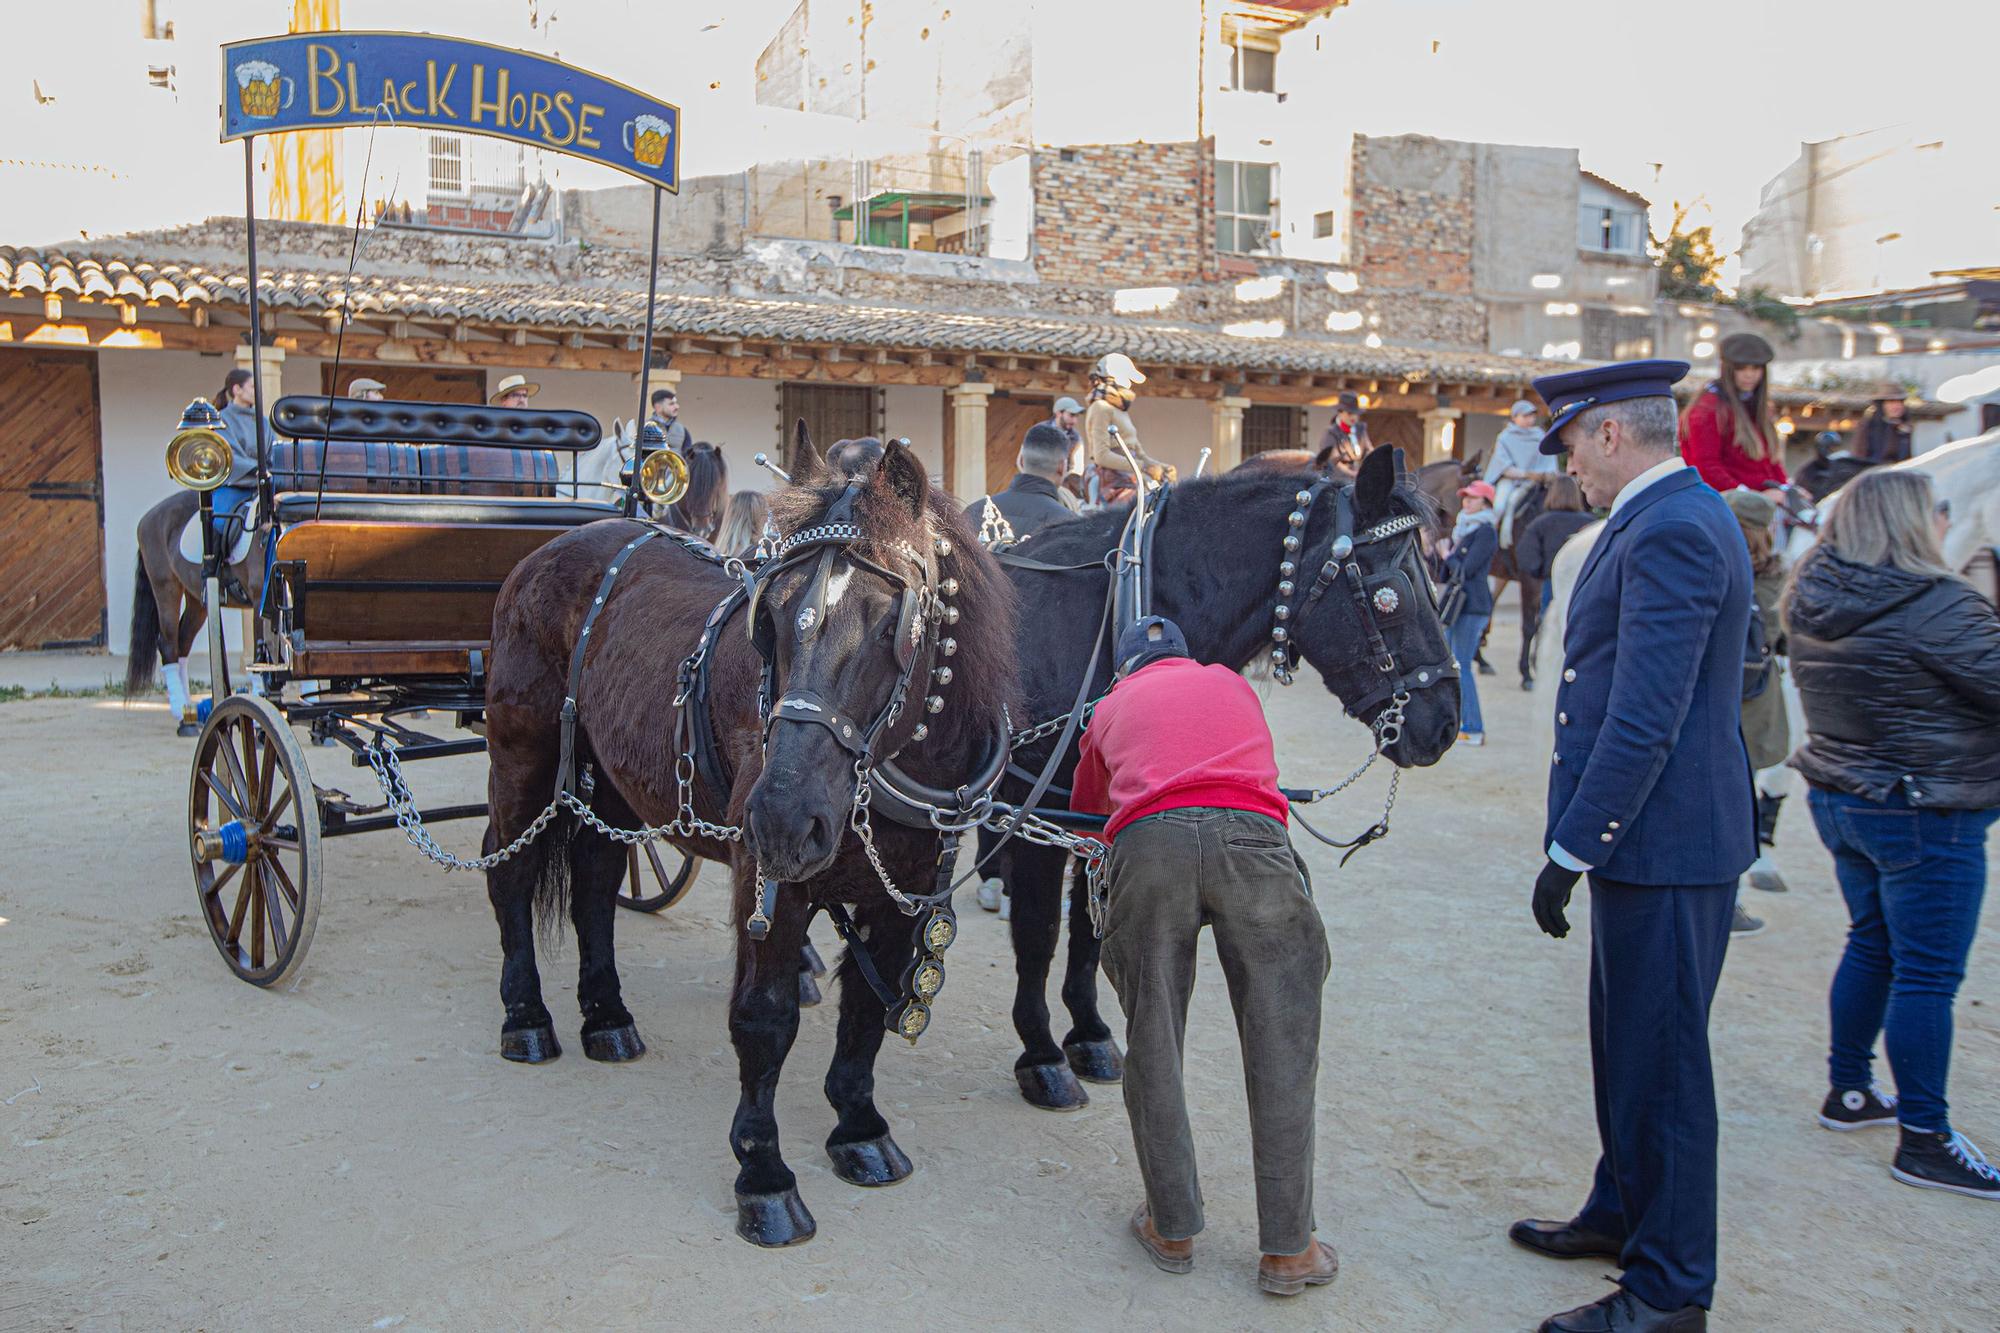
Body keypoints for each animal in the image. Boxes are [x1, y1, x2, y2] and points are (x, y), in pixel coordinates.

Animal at [480, 430, 1016, 1240]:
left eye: (890, 624)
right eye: (772, 617)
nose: (785, 818)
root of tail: (554, 546)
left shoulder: (903, 891)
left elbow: (865, 1010)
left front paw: (858, 1127)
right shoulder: (769, 883)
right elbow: (764, 1018)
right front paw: (763, 1175)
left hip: (615, 778)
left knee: (596, 882)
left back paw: (606, 1016)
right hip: (526, 756)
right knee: (507, 869)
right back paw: (527, 1017)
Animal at [984, 440, 1456, 1104]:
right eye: (1393, 593)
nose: (1446, 723)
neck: (1116, 614)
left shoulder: (1100, 810)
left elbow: (1087, 928)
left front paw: (1090, 1033)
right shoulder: (1033, 797)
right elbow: (1039, 930)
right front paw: (1042, 1053)